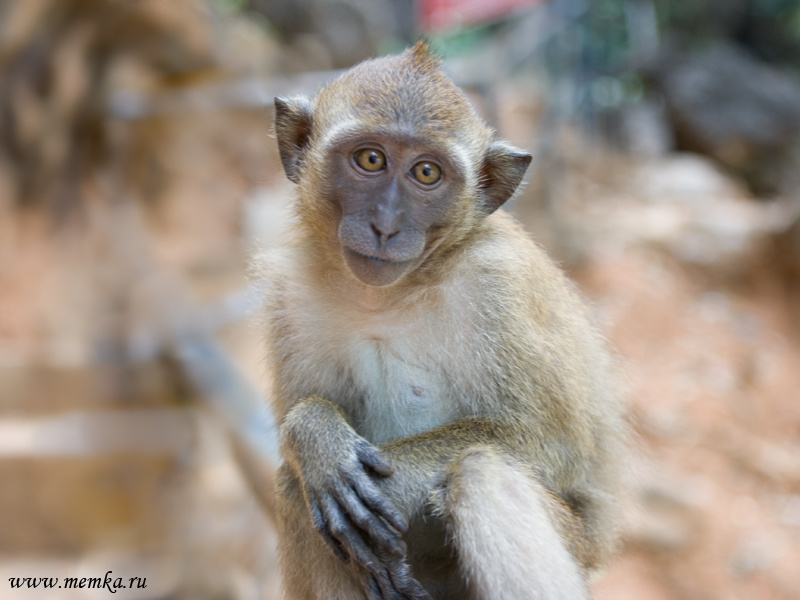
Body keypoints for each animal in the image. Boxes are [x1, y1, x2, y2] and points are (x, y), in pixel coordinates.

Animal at [257, 41, 627, 600]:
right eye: (371, 159)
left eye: (427, 173)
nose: (385, 225)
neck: (386, 296)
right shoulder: (288, 293)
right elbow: (295, 431)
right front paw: (317, 438)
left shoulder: (500, 283)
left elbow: (553, 445)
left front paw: (379, 480)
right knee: (293, 488)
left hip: (577, 547)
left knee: (484, 473)